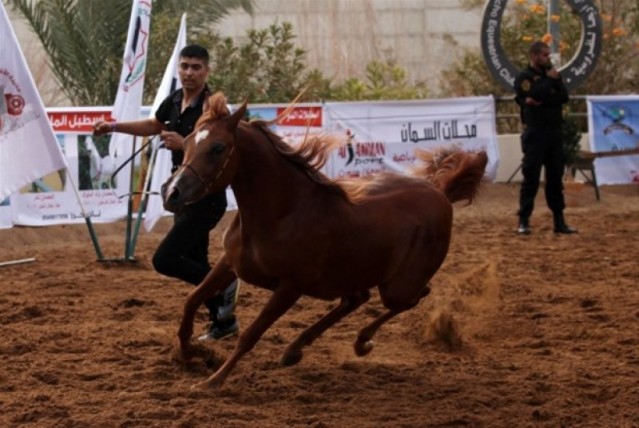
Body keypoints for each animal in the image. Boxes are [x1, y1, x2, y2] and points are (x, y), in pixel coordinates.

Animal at [162, 92, 488, 390]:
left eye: (218, 148)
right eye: (187, 142)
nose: (171, 193)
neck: (283, 212)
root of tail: (441, 193)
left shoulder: (289, 287)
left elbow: (250, 335)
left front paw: (212, 382)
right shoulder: (229, 263)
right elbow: (191, 301)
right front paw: (191, 353)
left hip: (397, 287)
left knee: (413, 296)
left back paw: (362, 342)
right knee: (357, 299)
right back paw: (296, 350)